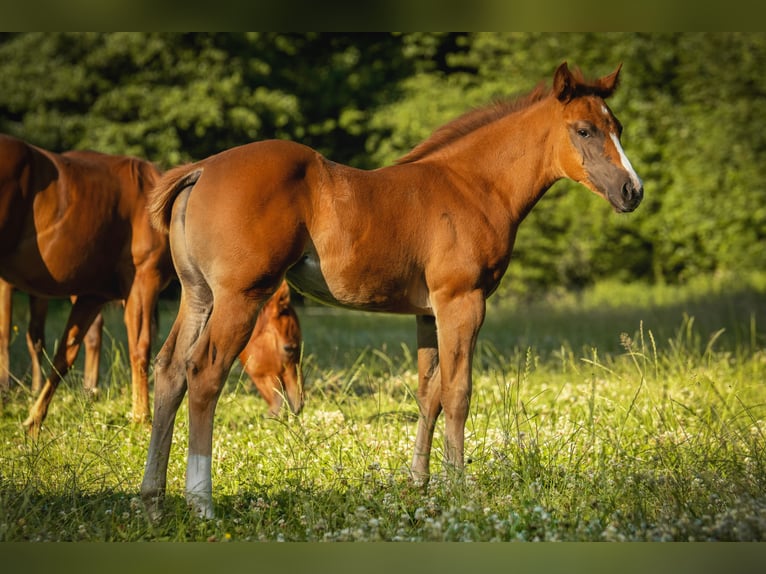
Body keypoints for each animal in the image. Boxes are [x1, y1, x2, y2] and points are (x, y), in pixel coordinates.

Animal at [0, 135, 175, 435]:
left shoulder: (92, 296)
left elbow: (65, 354)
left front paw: (33, 421)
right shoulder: (143, 281)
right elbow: (140, 348)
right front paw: (142, 418)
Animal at [140, 62, 644, 518]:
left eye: (617, 127)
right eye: (583, 130)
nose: (632, 191)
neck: (473, 186)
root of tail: (202, 169)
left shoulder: (429, 312)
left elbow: (429, 393)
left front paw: (420, 483)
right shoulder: (463, 301)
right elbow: (458, 392)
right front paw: (458, 486)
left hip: (199, 296)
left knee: (169, 371)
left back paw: (153, 501)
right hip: (241, 297)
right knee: (204, 372)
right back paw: (200, 502)